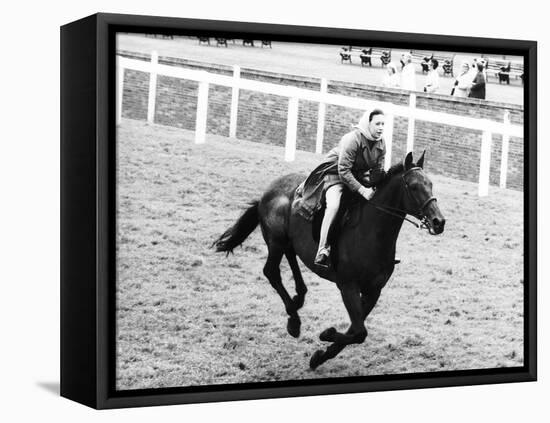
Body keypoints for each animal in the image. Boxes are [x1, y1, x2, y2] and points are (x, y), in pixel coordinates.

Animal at [213, 151, 446, 370]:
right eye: (413, 186)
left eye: (430, 184)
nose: (438, 221)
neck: (372, 232)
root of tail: (267, 192)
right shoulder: (348, 286)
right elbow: (359, 332)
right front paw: (326, 334)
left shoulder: (373, 291)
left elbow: (356, 330)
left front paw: (320, 357)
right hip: (276, 241)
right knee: (271, 272)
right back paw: (294, 320)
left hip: (288, 241)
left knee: (291, 259)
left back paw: (298, 299)